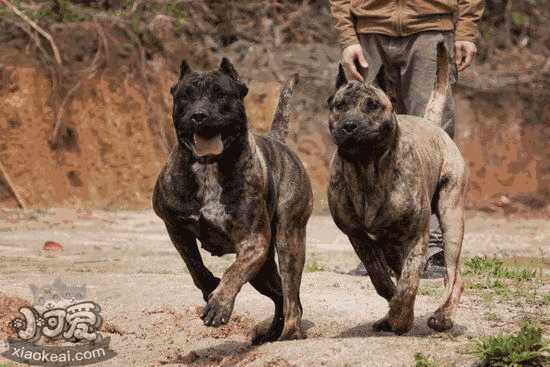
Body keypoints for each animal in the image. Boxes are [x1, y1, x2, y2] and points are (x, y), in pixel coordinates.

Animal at [153, 58, 312, 344]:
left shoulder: (253, 242)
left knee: (291, 297)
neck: (208, 167)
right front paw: (210, 288)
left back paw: (290, 333)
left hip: (288, 241)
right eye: (185, 96)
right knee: (280, 296)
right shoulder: (175, 226)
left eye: (221, 95)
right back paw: (271, 332)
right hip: (264, 270)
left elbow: (233, 272)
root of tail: (277, 141)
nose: (199, 115)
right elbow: (194, 266)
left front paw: (219, 304)